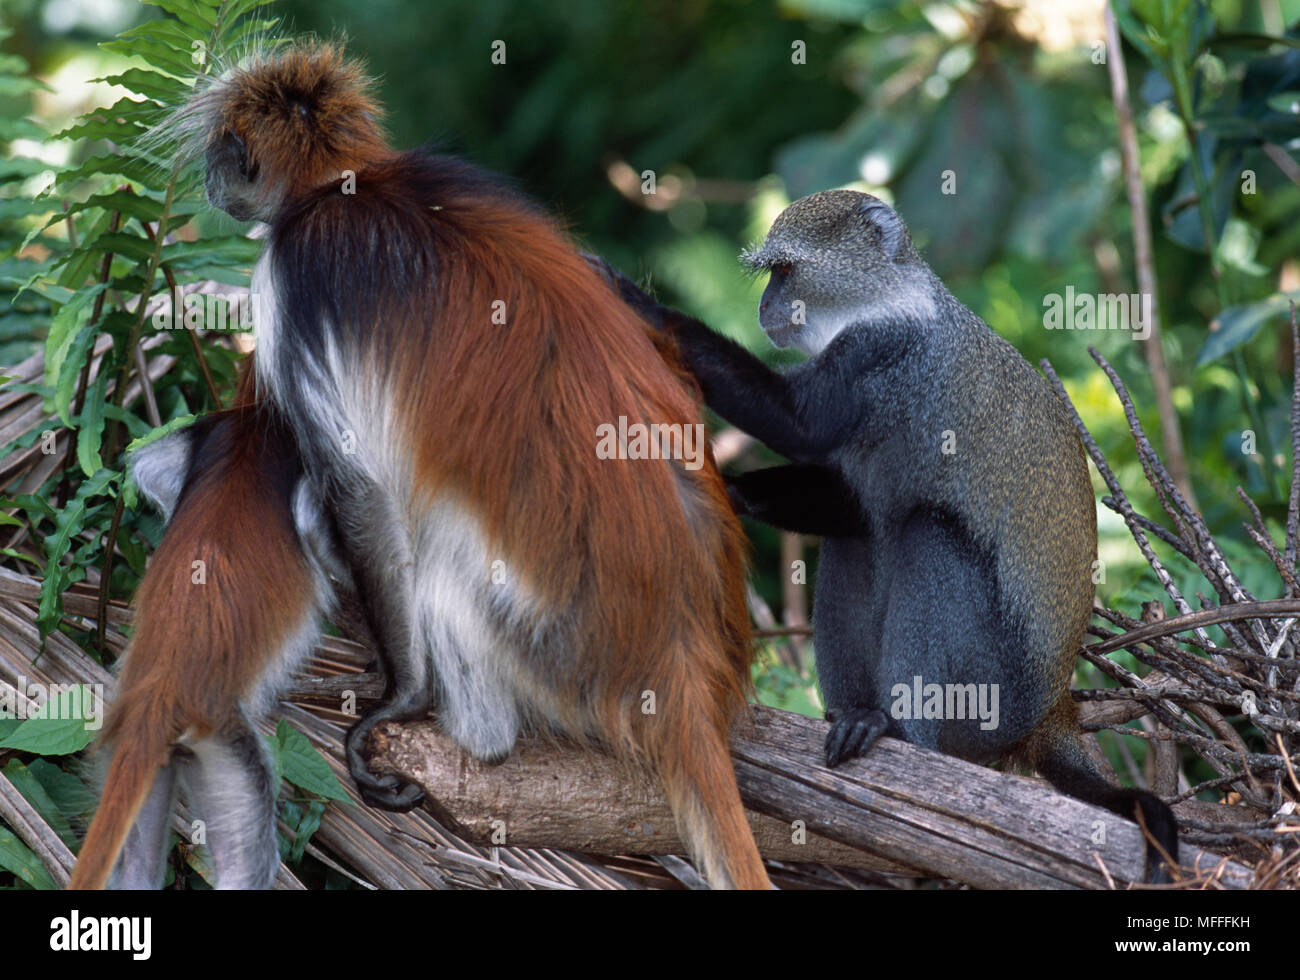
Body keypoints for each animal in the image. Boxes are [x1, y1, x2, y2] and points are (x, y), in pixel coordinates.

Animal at [139, 43, 770, 889]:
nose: (212, 181)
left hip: (550, 639)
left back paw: (475, 736)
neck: (351, 184)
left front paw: (398, 700)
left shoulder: (296, 272)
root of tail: (681, 662)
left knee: (428, 575)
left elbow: (358, 491)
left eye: (220, 155)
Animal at [597, 189, 1179, 884]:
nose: (765, 306)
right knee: (860, 534)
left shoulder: (883, 354)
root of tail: (1051, 709)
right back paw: (851, 715)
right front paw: (728, 495)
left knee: (928, 535)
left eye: (784, 270)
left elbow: (797, 422)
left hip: (992, 693)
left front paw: (634, 300)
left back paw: (897, 731)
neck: (891, 297)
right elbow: (851, 503)